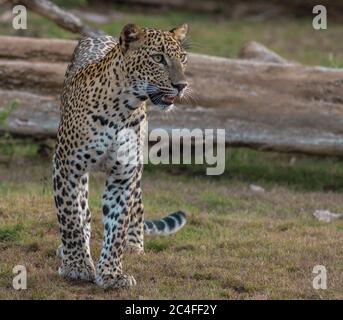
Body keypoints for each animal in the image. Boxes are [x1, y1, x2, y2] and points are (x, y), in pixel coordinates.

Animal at [52, 23, 189, 288]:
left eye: (183, 58)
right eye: (158, 58)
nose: (182, 85)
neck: (122, 108)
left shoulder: (124, 176)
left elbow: (117, 226)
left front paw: (111, 274)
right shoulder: (66, 167)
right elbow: (71, 217)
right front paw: (77, 266)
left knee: (138, 204)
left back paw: (134, 244)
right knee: (83, 209)